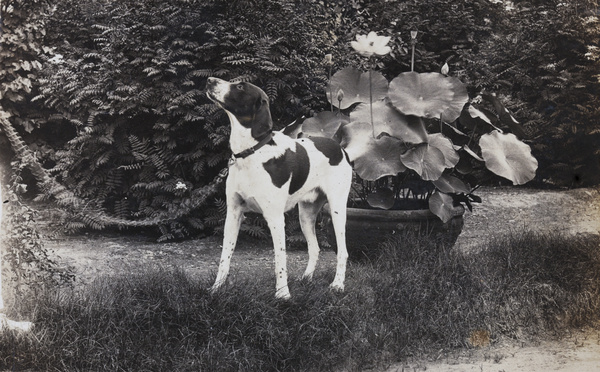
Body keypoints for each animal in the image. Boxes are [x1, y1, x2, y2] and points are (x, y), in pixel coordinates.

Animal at [206, 77, 352, 300]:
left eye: (240, 86)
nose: (209, 80)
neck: (250, 153)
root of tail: (340, 148)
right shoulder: (233, 214)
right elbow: (225, 257)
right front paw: (217, 288)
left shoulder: (275, 218)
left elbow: (280, 260)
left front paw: (283, 294)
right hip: (306, 214)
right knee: (314, 248)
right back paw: (306, 278)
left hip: (337, 209)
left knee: (343, 251)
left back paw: (337, 285)